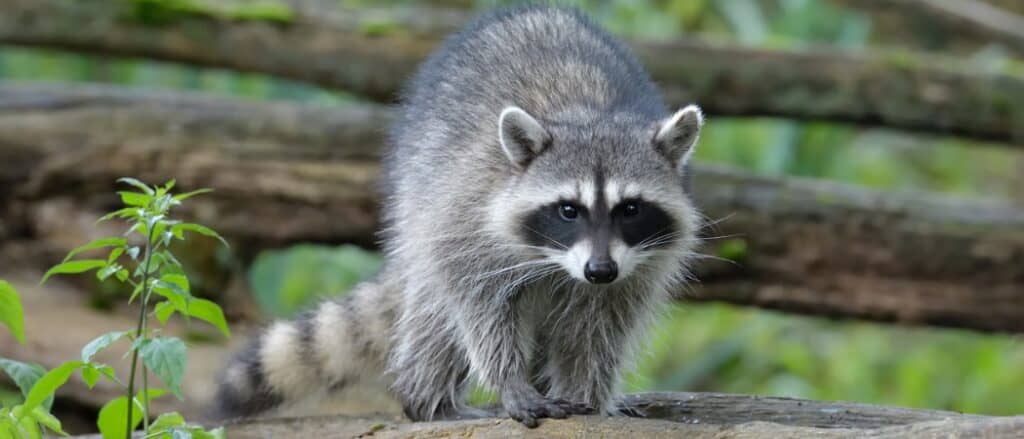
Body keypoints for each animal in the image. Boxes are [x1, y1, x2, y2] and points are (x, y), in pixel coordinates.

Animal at [216, 4, 704, 427]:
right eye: (569, 210)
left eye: (630, 209)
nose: (599, 270)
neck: (590, 116)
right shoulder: (468, 216)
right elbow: (477, 303)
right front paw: (509, 379)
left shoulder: (637, 266)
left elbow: (599, 329)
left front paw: (589, 394)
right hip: (417, 193)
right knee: (434, 315)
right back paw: (429, 399)